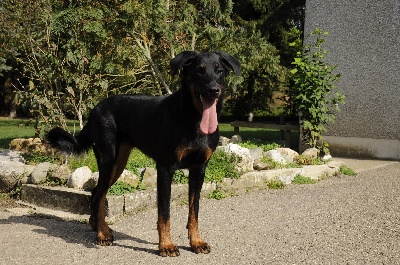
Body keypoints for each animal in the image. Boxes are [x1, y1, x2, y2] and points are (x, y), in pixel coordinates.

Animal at [47, 50, 241, 256]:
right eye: (199, 70)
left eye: (219, 71)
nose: (214, 90)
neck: (194, 119)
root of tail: (94, 110)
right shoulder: (165, 169)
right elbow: (164, 212)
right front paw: (166, 245)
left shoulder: (199, 169)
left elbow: (193, 210)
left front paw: (196, 242)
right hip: (108, 160)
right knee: (98, 196)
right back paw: (101, 235)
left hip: (118, 164)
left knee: (95, 194)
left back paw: (98, 227)